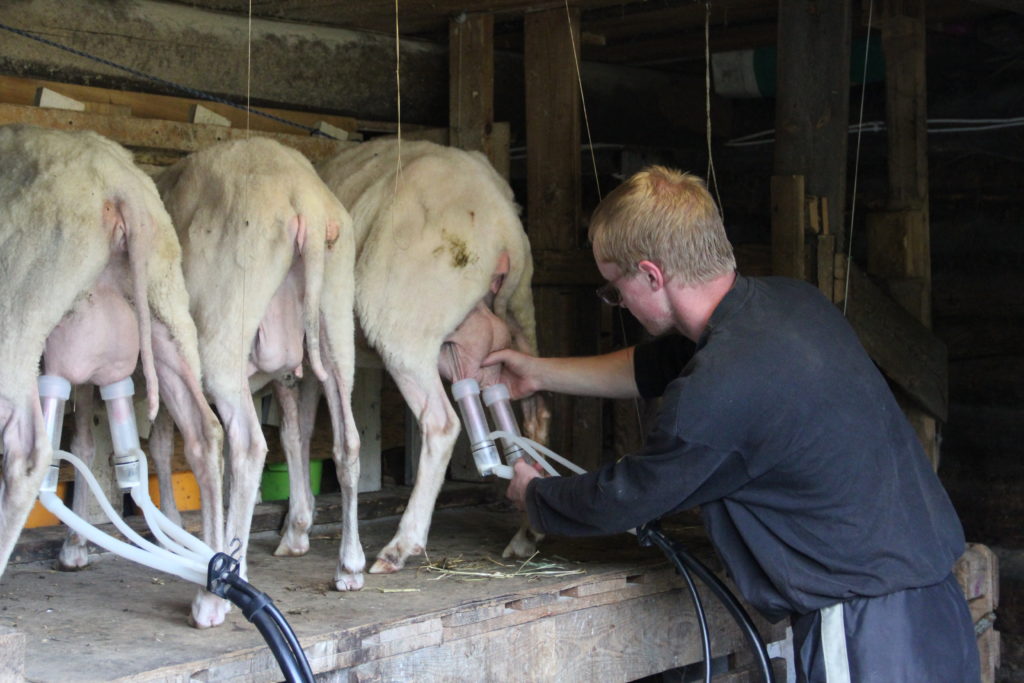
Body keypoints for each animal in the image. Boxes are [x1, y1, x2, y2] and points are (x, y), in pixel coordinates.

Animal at [0, 122, 226, 626]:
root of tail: (118, 186)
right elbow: (83, 440)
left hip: (24, 302)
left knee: (27, 451)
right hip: (165, 303)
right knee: (205, 432)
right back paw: (211, 598)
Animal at [313, 140, 552, 577]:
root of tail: (503, 224)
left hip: (403, 323)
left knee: (442, 424)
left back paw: (400, 546)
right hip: (517, 319)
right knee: (535, 412)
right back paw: (528, 533)